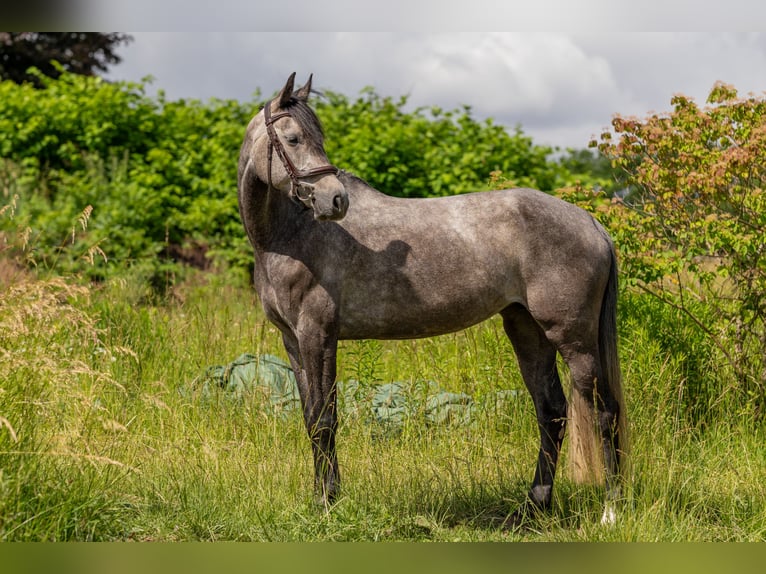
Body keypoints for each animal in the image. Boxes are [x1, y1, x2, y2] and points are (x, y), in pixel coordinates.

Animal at [237, 73, 627, 527]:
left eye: (314, 138)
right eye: (294, 138)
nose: (335, 201)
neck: (290, 237)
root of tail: (590, 222)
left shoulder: (319, 336)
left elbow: (325, 419)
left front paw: (330, 502)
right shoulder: (294, 342)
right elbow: (310, 419)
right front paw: (322, 500)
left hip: (573, 338)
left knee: (603, 411)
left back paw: (611, 510)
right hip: (527, 330)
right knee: (552, 412)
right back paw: (534, 507)